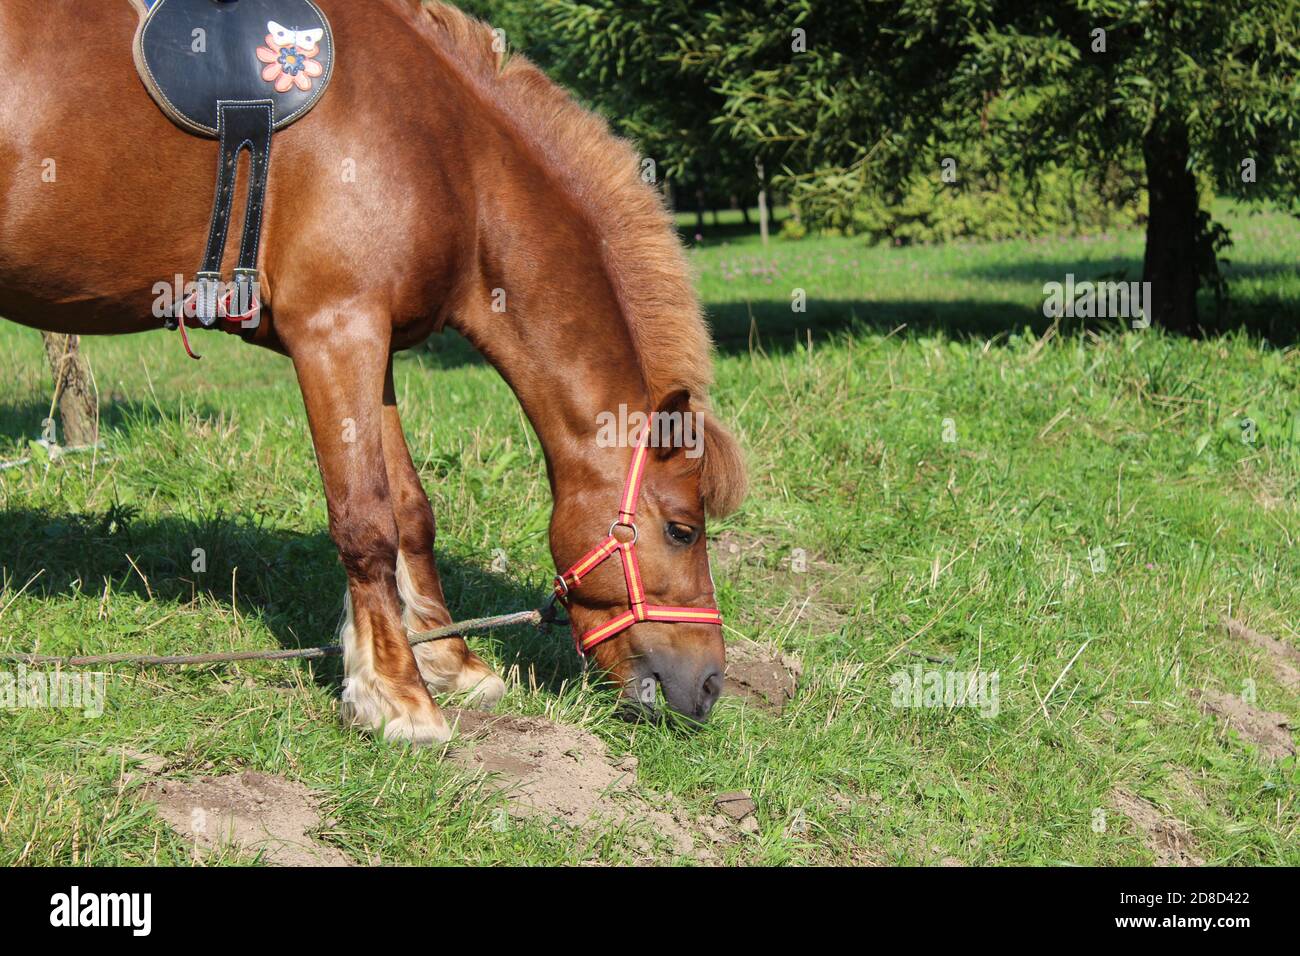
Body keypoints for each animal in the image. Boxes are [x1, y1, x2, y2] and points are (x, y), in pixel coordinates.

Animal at [0, 0, 748, 738]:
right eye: (683, 529)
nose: (710, 685)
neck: (451, 157)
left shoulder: (375, 344)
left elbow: (411, 512)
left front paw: (449, 662)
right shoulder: (336, 330)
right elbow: (364, 520)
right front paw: (398, 697)